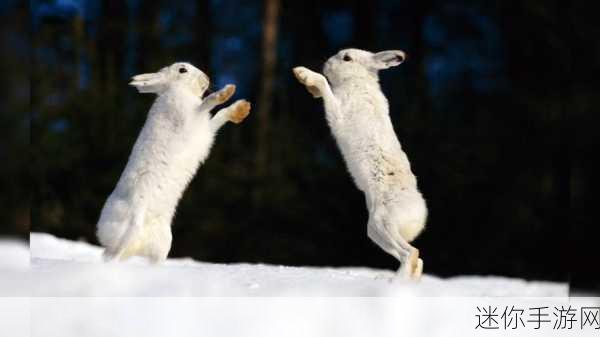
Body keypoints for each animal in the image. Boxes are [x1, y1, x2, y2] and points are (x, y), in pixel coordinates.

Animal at [96, 63, 251, 262]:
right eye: (182, 69)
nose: (206, 78)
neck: (176, 90)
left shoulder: (205, 128)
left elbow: (219, 116)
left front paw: (242, 109)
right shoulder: (189, 119)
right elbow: (206, 104)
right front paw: (226, 92)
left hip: (162, 244)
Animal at [294, 47, 426, 278]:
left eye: (347, 58)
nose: (327, 64)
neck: (358, 80)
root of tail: (418, 215)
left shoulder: (339, 112)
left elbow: (325, 87)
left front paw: (306, 74)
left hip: (381, 223)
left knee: (410, 254)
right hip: (375, 232)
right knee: (416, 259)